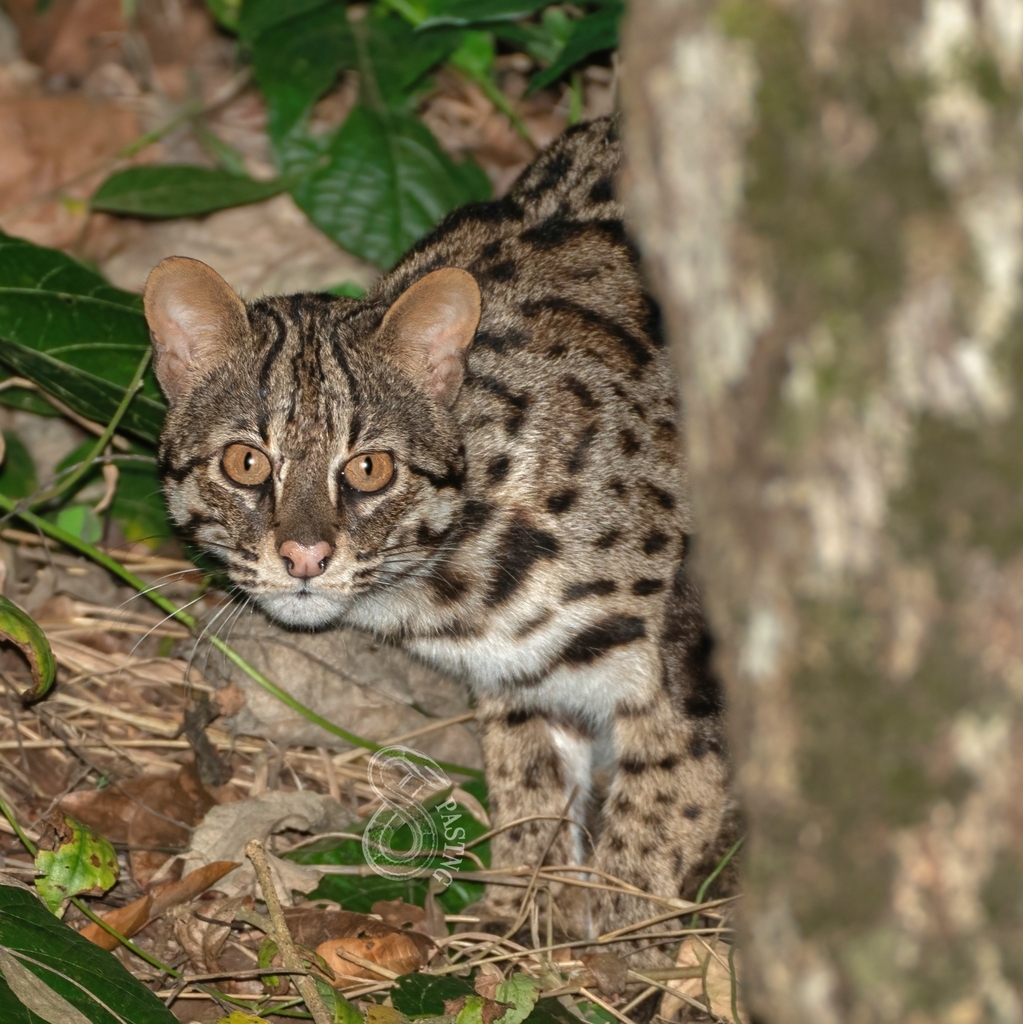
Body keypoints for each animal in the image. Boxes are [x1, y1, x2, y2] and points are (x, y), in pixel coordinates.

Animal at [142, 117, 737, 942]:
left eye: (369, 469)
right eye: (245, 462)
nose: (304, 556)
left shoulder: (689, 658)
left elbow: (662, 815)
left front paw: (622, 944)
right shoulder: (528, 676)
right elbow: (528, 789)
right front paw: (524, 915)